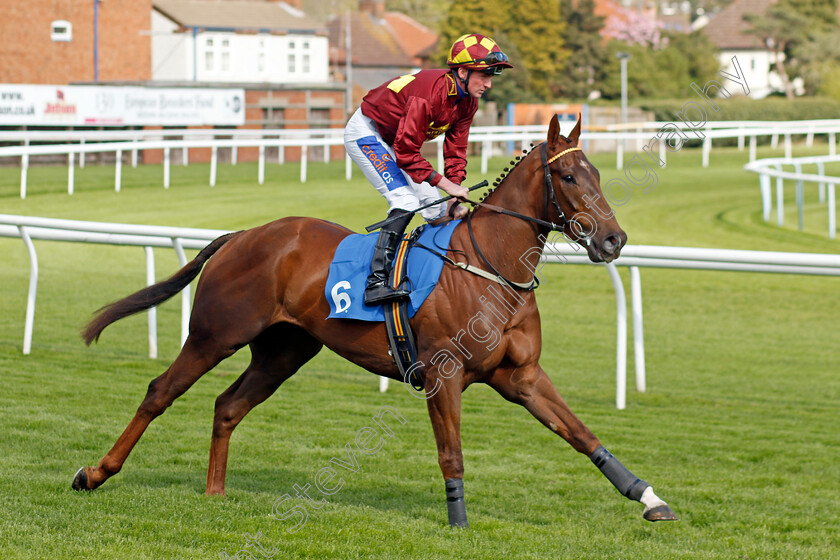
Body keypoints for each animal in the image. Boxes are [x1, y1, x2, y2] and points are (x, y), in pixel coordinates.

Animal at [72, 116, 676, 528]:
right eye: (570, 175)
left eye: (598, 173)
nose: (613, 240)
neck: (491, 268)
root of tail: (241, 235)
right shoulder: (443, 373)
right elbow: (452, 451)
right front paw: (458, 522)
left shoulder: (522, 376)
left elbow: (582, 434)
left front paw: (650, 498)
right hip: (215, 334)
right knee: (159, 392)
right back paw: (94, 473)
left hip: (283, 351)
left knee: (227, 406)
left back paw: (215, 492)